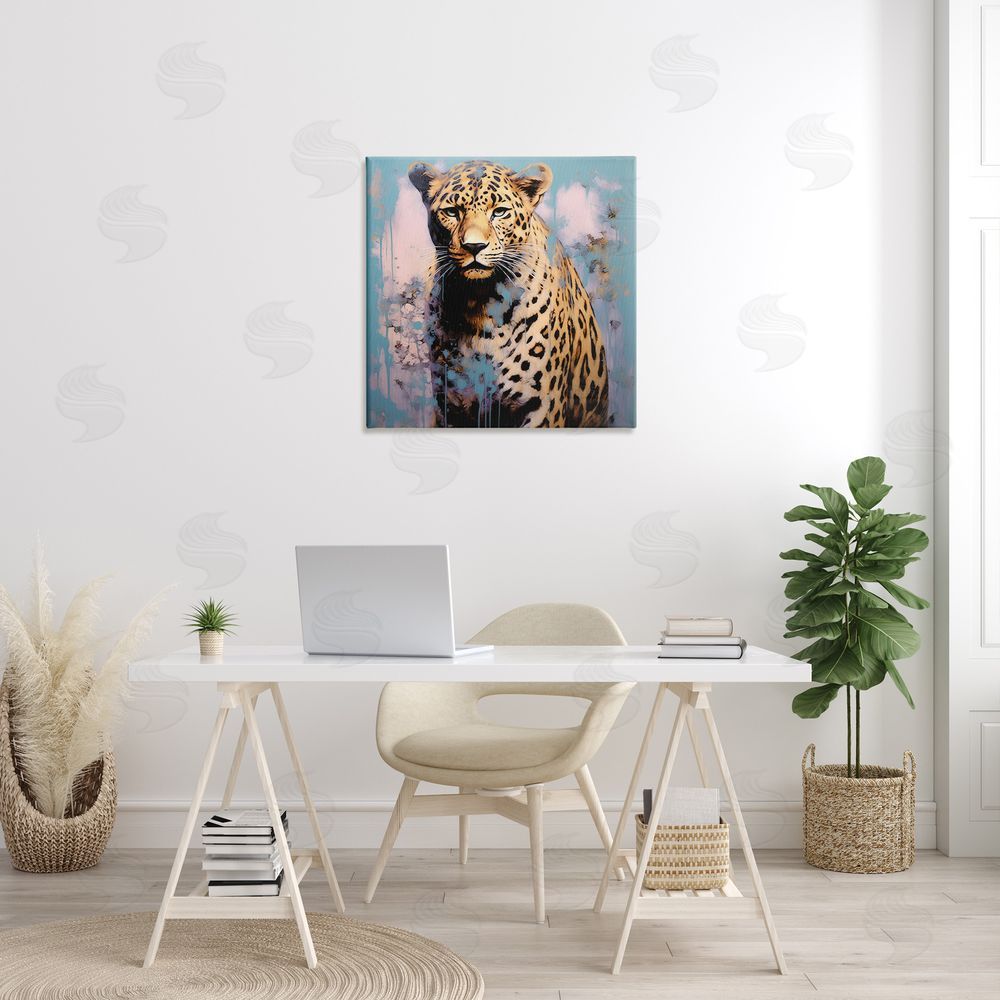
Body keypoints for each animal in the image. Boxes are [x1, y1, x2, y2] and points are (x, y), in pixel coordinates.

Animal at [408, 159, 610, 428]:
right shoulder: (449, 406)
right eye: (451, 212)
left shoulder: (540, 406)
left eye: (500, 212)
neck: (478, 303)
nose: (474, 246)